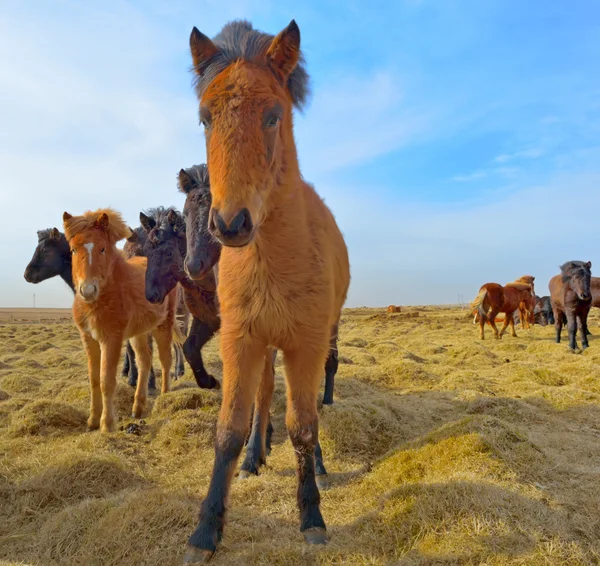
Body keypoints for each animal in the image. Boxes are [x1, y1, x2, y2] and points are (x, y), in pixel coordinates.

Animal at [62, 211, 183, 432]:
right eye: (73, 250)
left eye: (102, 248)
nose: (88, 290)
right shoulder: (88, 339)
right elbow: (94, 379)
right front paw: (92, 421)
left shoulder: (112, 339)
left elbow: (107, 380)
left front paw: (107, 424)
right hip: (139, 332)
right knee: (144, 361)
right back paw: (138, 407)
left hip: (163, 324)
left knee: (165, 359)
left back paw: (164, 395)